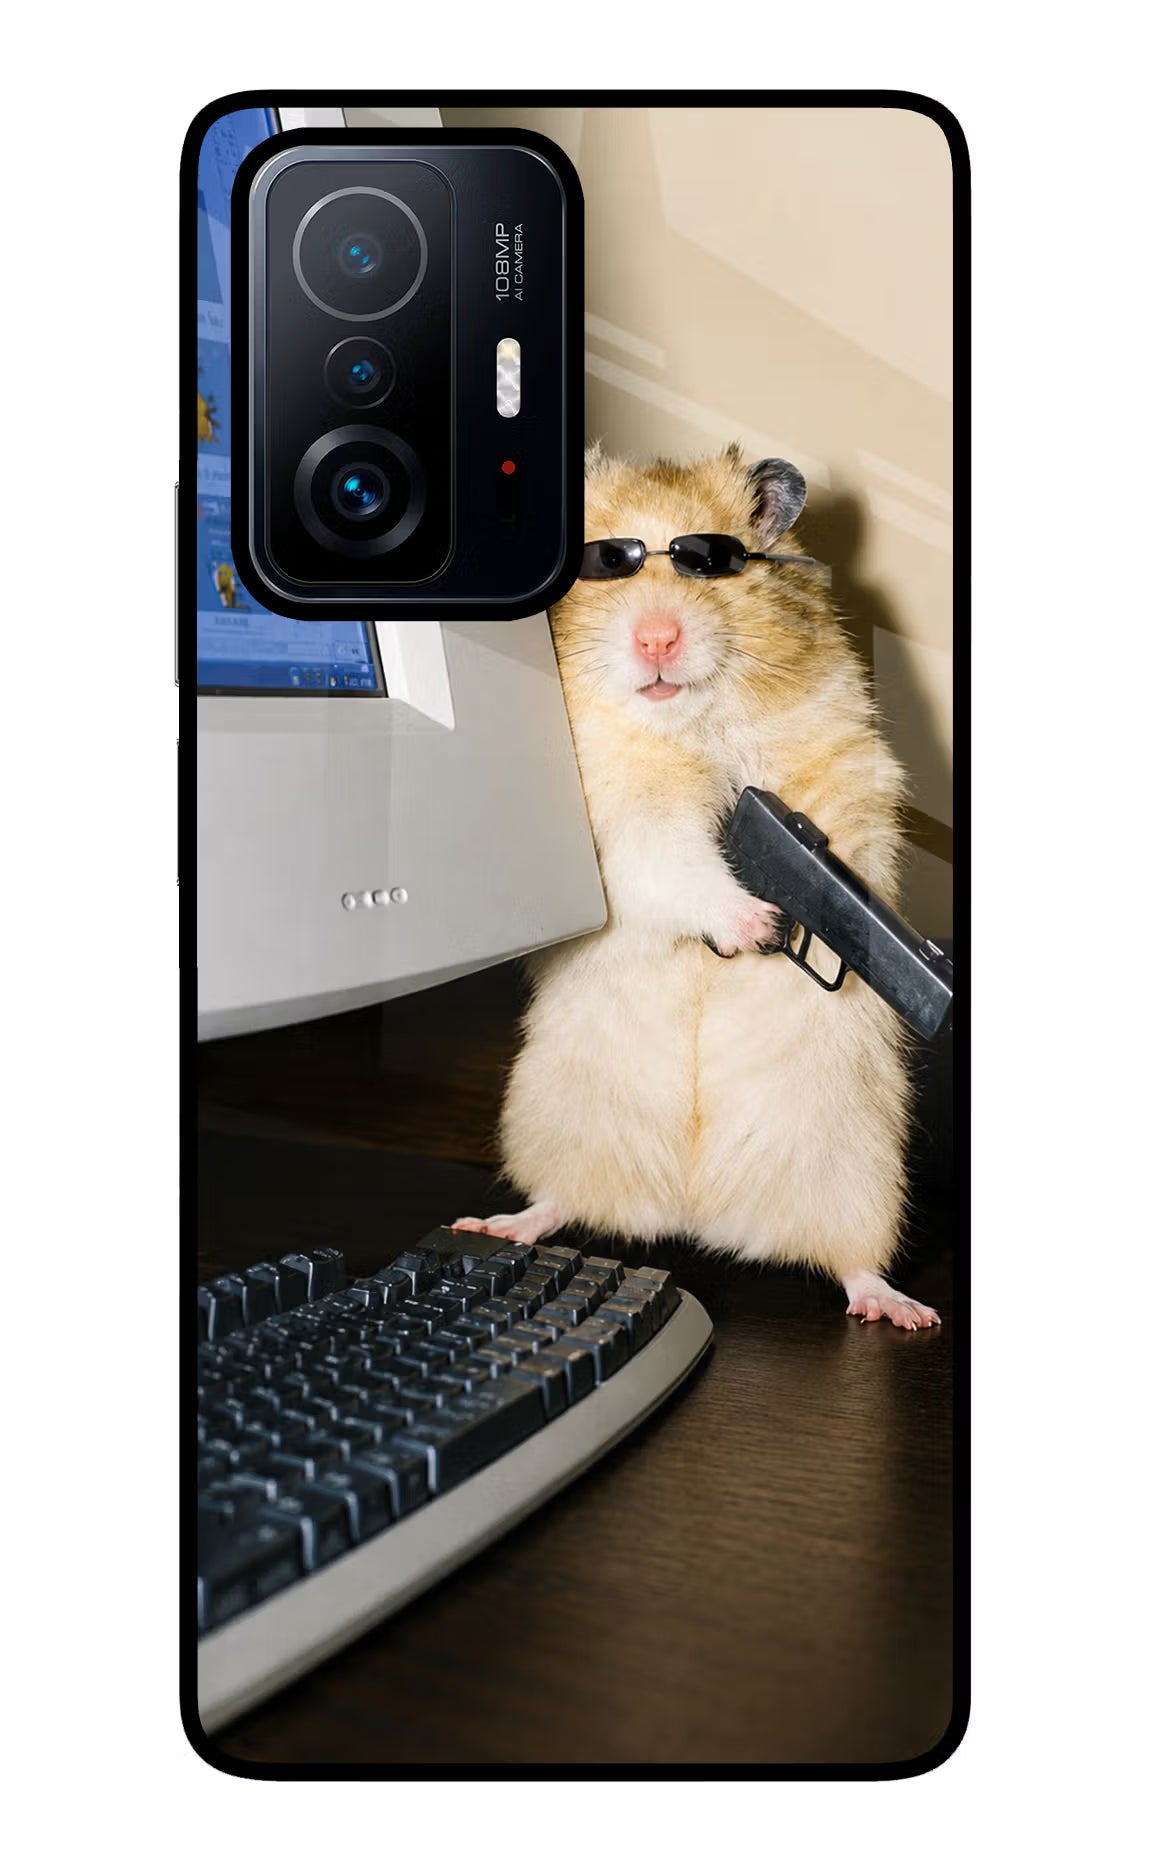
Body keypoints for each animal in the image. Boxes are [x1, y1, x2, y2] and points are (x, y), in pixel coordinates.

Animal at [456, 444, 939, 1329]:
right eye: (603, 563)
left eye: (710, 562)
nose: (657, 639)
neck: (690, 725)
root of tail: (694, 1212)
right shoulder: (620, 821)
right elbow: (675, 862)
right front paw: (756, 925)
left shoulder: (844, 765)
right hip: (556, 1119)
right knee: (560, 1200)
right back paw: (498, 1224)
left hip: (857, 1169)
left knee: (852, 1261)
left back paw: (901, 1309)